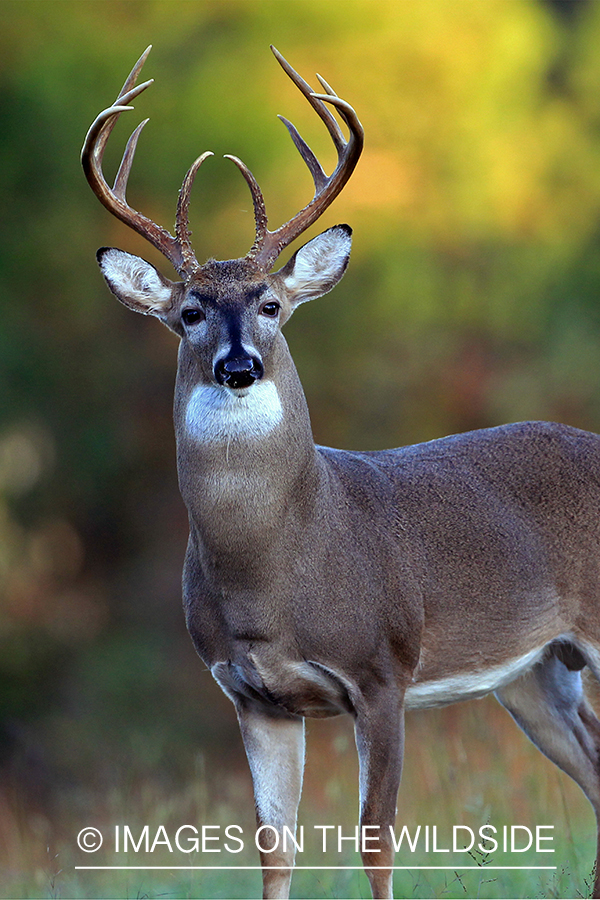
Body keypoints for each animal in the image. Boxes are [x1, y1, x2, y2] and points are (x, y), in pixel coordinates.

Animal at [84, 44, 600, 900]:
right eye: (190, 312)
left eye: (270, 304)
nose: (238, 365)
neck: (275, 570)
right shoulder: (253, 696)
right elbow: (274, 846)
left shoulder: (382, 669)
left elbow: (376, 839)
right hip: (535, 672)